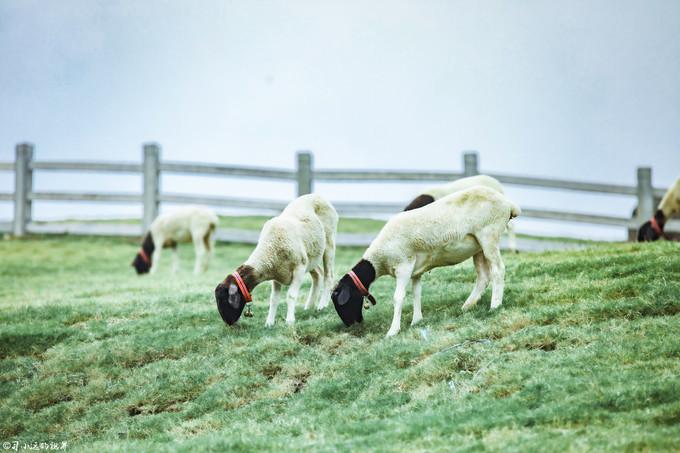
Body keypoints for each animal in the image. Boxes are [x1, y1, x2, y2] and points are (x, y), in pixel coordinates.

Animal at [215, 192, 338, 326]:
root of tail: (317, 195)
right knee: (318, 274)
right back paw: (309, 307)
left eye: (224, 300)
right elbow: (273, 299)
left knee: (328, 276)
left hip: (329, 243)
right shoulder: (277, 273)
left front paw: (289, 321)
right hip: (311, 256)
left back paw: (322, 305)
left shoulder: (299, 268)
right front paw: (269, 323)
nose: (228, 323)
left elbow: (291, 295)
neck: (269, 247)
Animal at [334, 184, 520, 336]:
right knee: (483, 276)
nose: (352, 325)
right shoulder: (415, 270)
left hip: (489, 235)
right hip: (478, 246)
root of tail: (508, 204)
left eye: (340, 302)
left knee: (498, 270)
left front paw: (393, 331)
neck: (378, 259)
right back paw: (468, 305)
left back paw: (495, 305)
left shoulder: (403, 265)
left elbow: (398, 297)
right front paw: (417, 321)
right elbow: (417, 293)